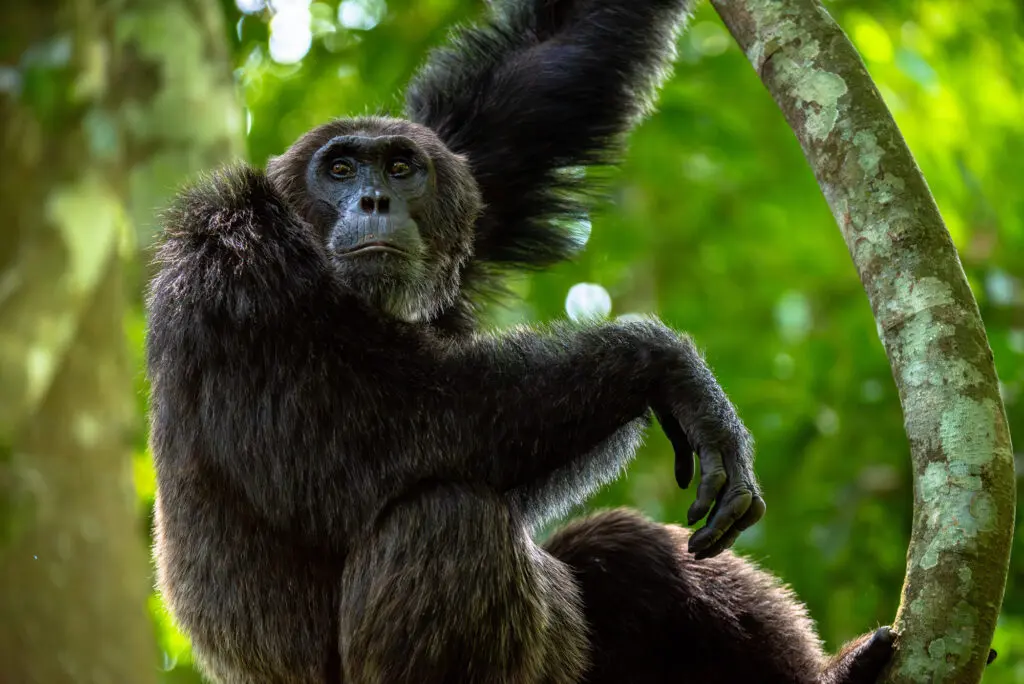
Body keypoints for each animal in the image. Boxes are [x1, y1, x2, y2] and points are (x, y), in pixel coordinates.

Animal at [146, 0, 896, 682]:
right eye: (338, 170)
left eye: (400, 167)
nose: (373, 201)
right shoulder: (242, 279)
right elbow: (371, 435)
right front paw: (669, 368)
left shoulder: (469, 168)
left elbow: (542, 71)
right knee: (450, 520)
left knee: (625, 547)